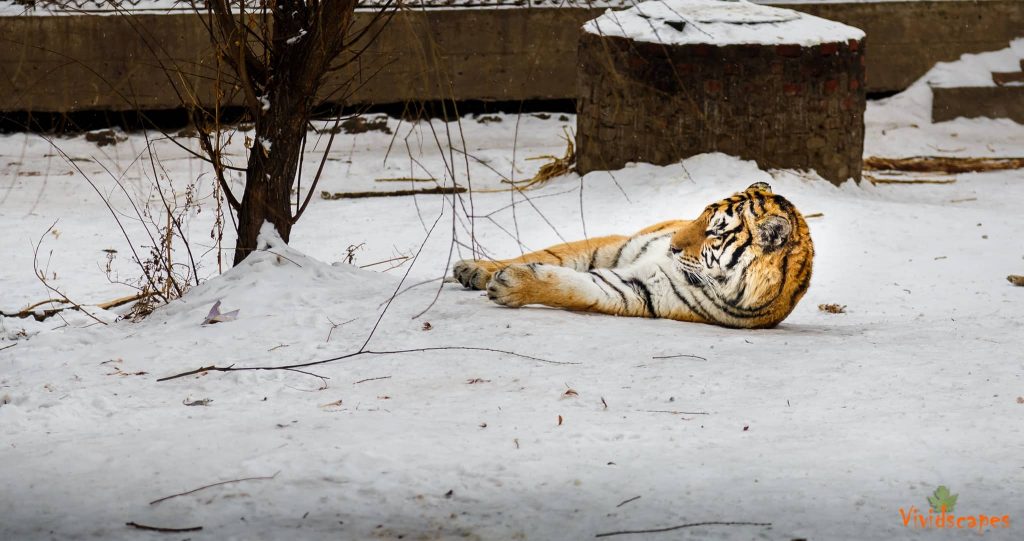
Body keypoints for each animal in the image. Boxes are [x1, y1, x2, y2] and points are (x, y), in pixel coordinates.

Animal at [456, 181, 815, 327]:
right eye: (701, 215)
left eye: (715, 231)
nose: (672, 245)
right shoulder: (619, 245)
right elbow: (554, 254)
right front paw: (476, 269)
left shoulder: (638, 291)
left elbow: (573, 286)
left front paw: (510, 285)